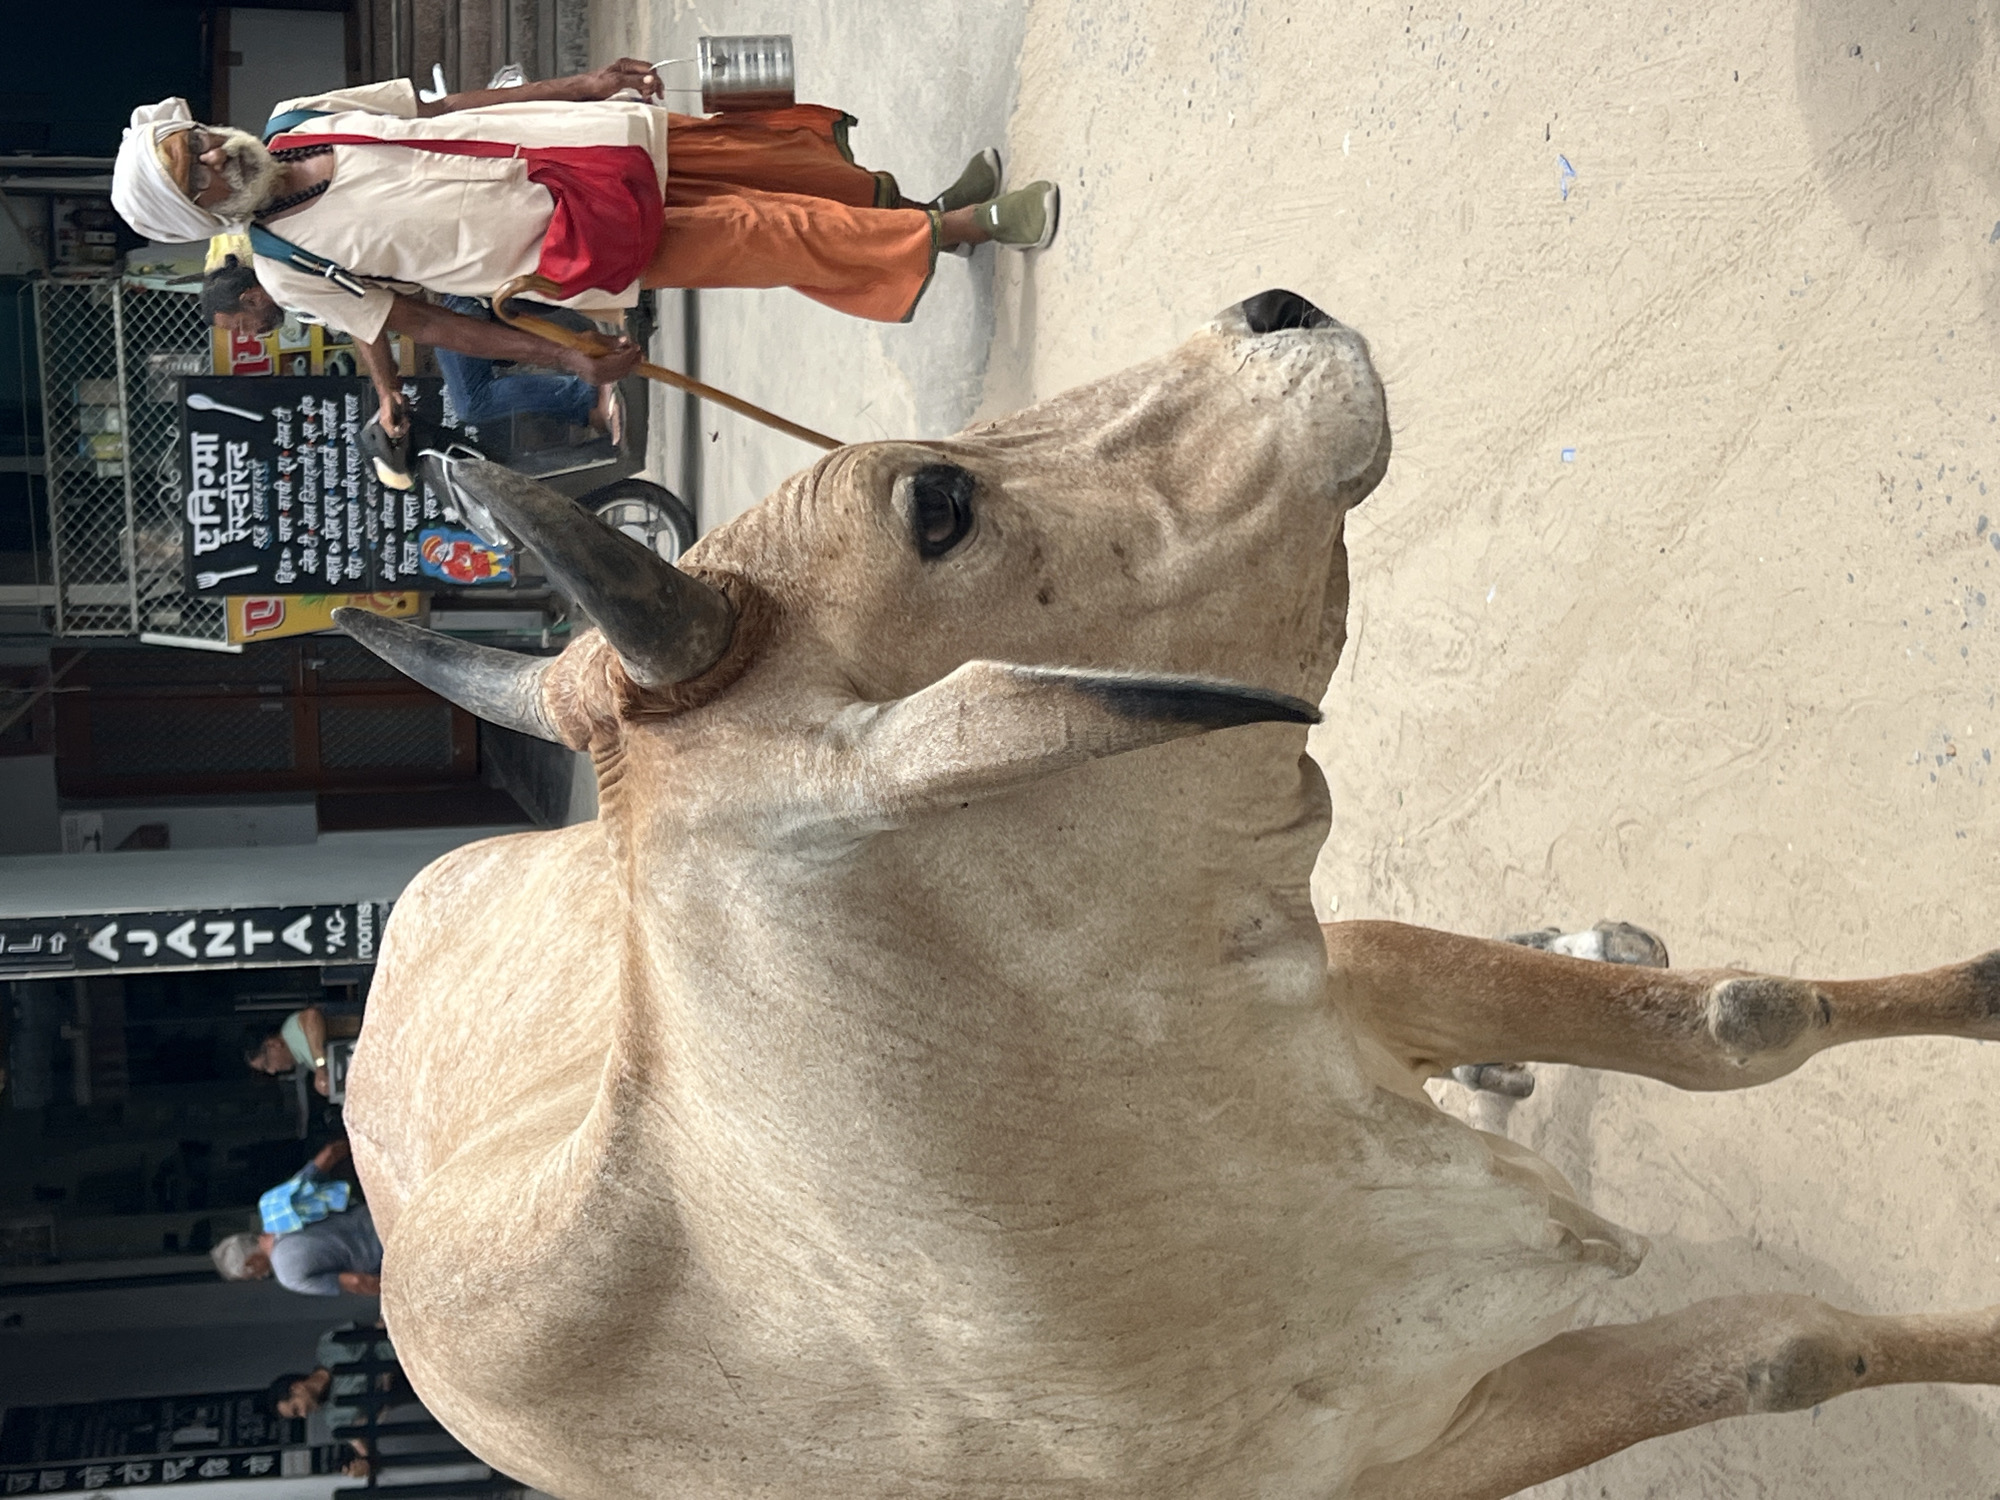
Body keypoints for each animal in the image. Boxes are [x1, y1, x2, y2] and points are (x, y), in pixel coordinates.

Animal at [336, 290, 2000, 1500]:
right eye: (933, 508)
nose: (1273, 307)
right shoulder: (1425, 1457)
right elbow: (1791, 1352)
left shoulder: (1327, 979)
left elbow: (1737, 1022)